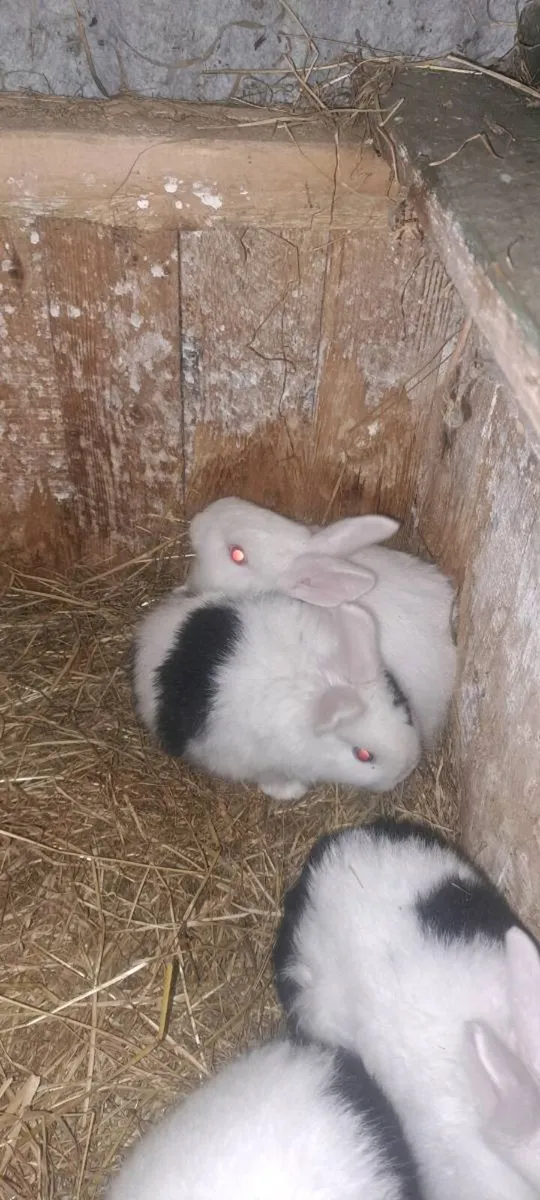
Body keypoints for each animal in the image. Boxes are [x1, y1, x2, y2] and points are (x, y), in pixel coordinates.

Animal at [131, 586, 422, 802]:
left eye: (403, 707)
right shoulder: (259, 761)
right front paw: (291, 792)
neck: (319, 681)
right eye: (363, 755)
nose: (407, 769)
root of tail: (152, 632)